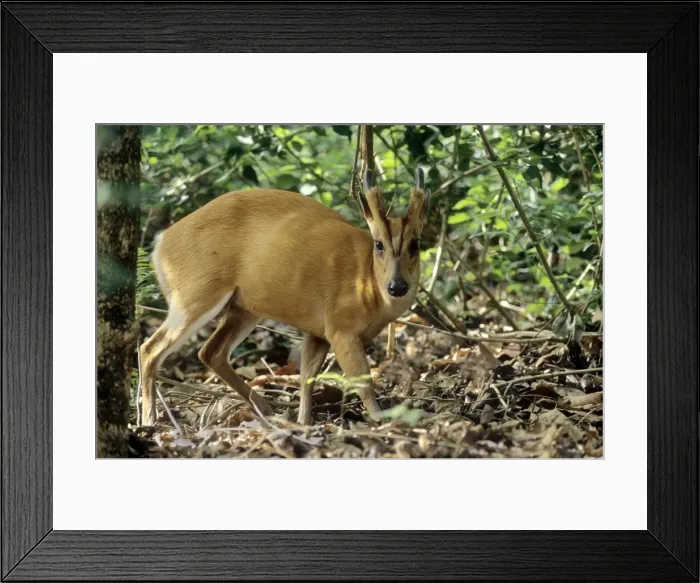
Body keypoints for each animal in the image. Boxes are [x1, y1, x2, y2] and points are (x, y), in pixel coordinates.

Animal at [139, 168, 431, 426]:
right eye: (379, 244)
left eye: (415, 244)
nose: (397, 286)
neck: (367, 283)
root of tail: (160, 243)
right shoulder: (340, 327)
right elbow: (364, 381)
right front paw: (382, 420)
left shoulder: (318, 332)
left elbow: (306, 378)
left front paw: (303, 422)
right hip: (195, 292)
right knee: (150, 348)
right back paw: (150, 420)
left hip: (243, 308)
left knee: (210, 352)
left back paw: (264, 407)